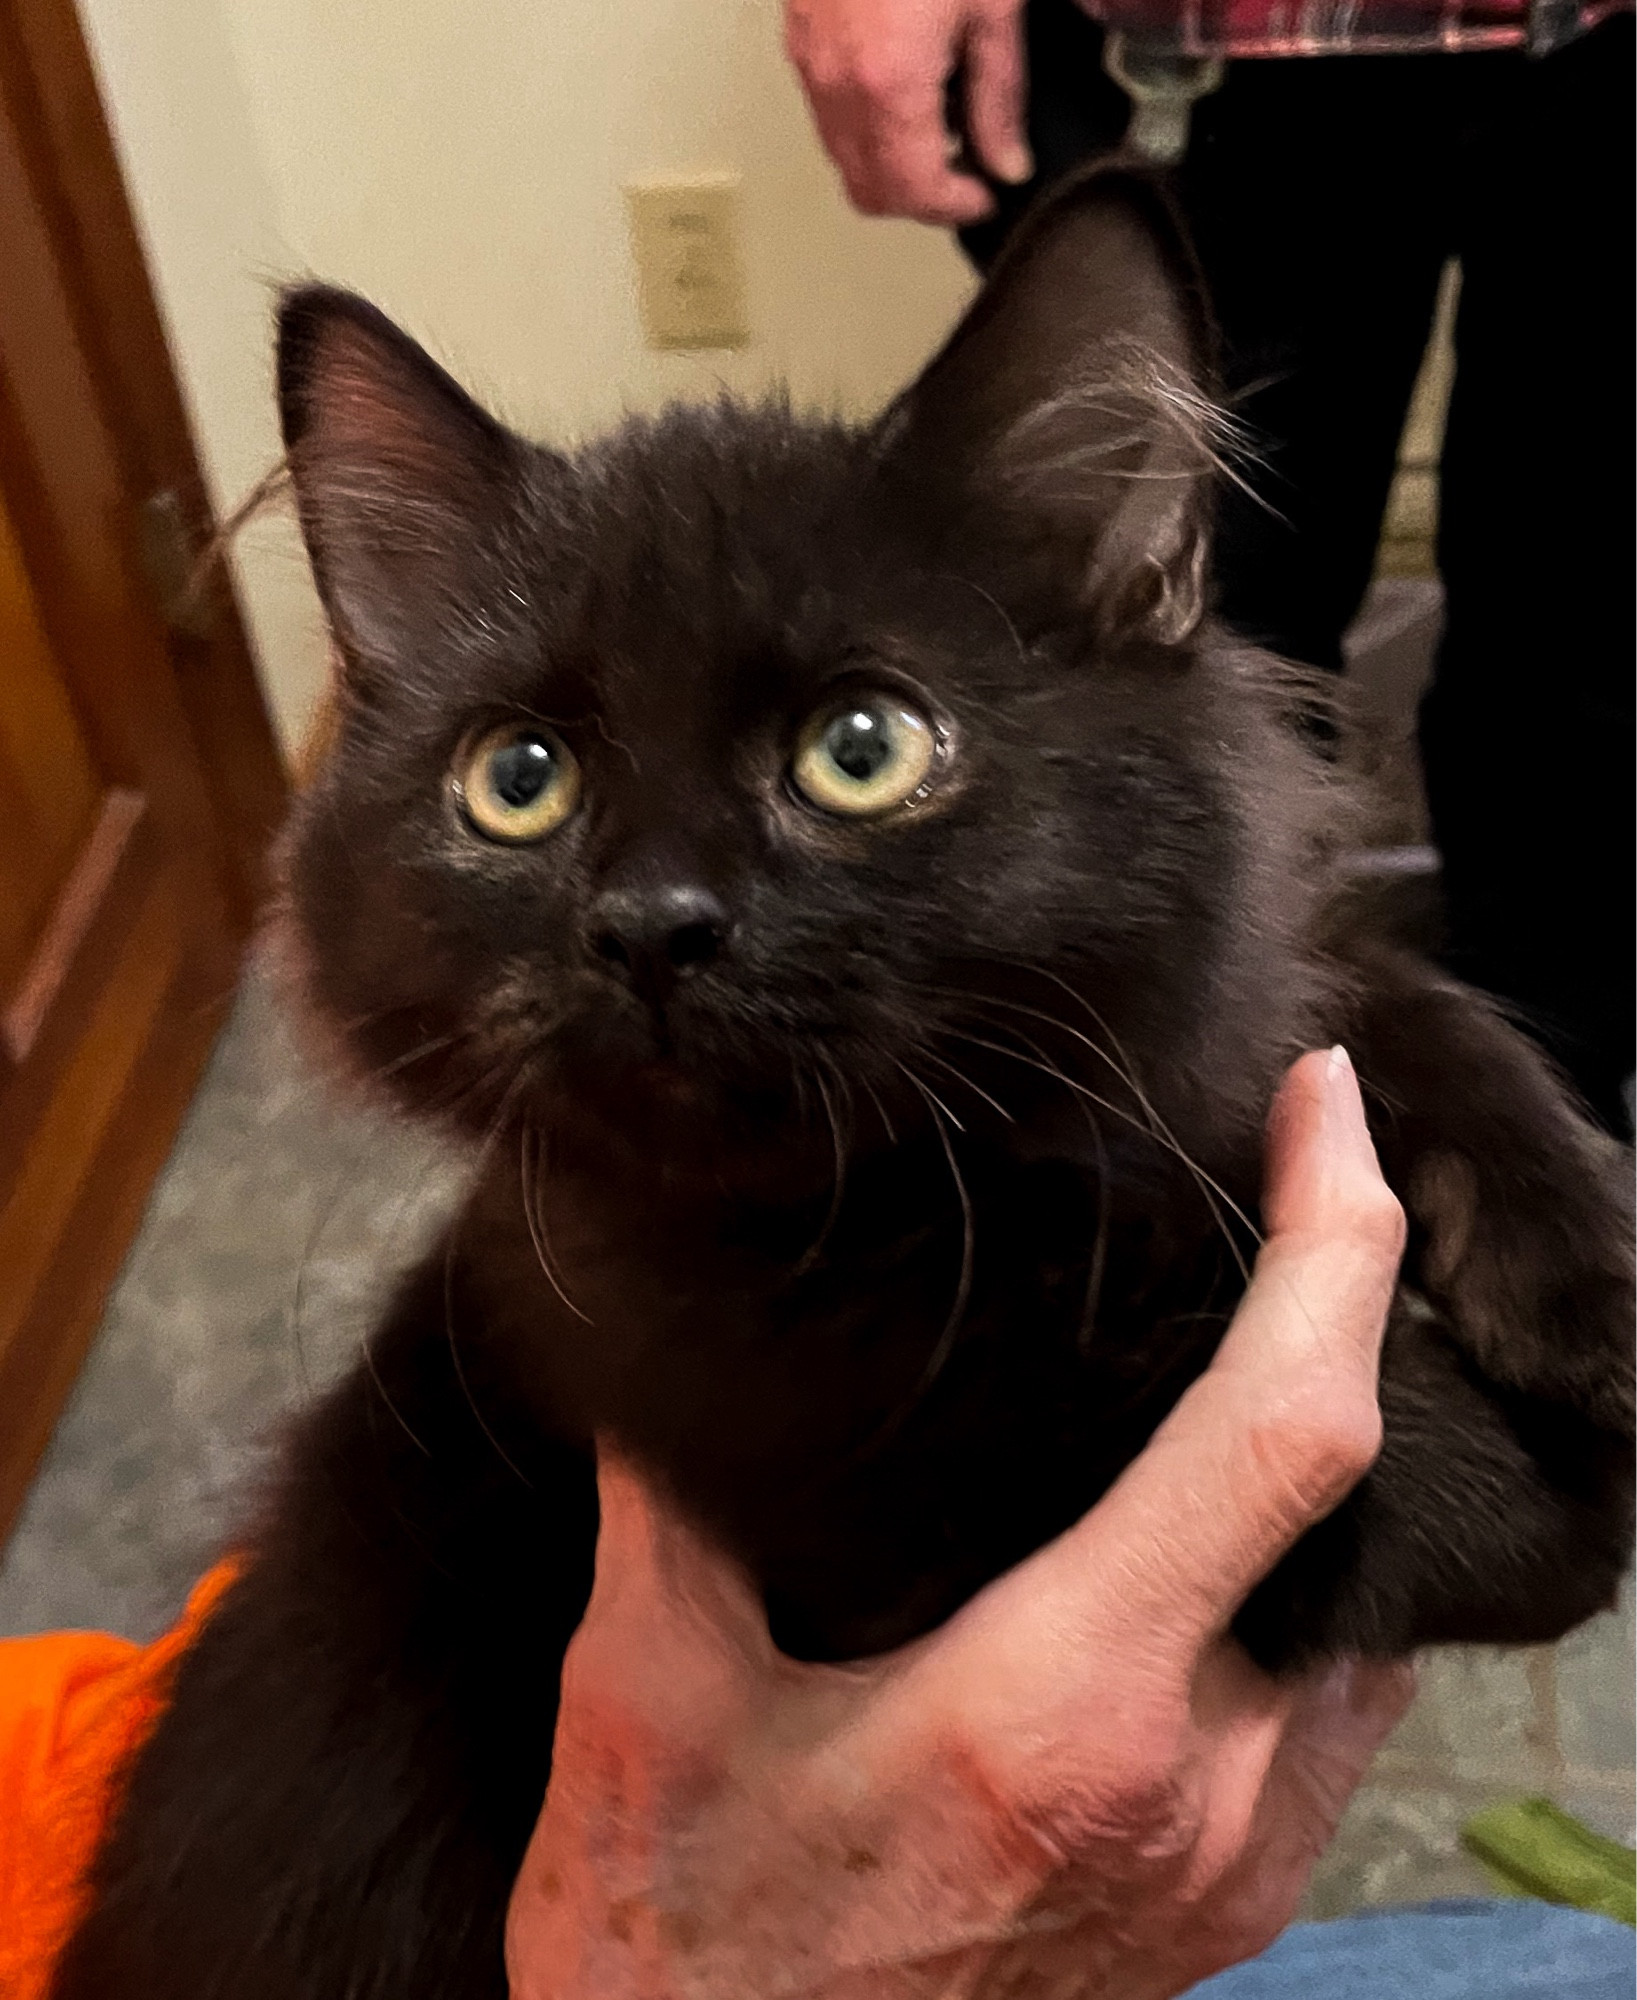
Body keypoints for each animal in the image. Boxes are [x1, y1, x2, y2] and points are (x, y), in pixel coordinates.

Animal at [57, 172, 1624, 2000]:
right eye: (518, 782)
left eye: (860, 750)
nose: (650, 925)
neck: (923, 1200)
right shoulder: (866, 1514)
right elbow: (1292, 1450)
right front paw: (1542, 1481)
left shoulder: (1207, 1006)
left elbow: (1375, 991)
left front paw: (1582, 1272)